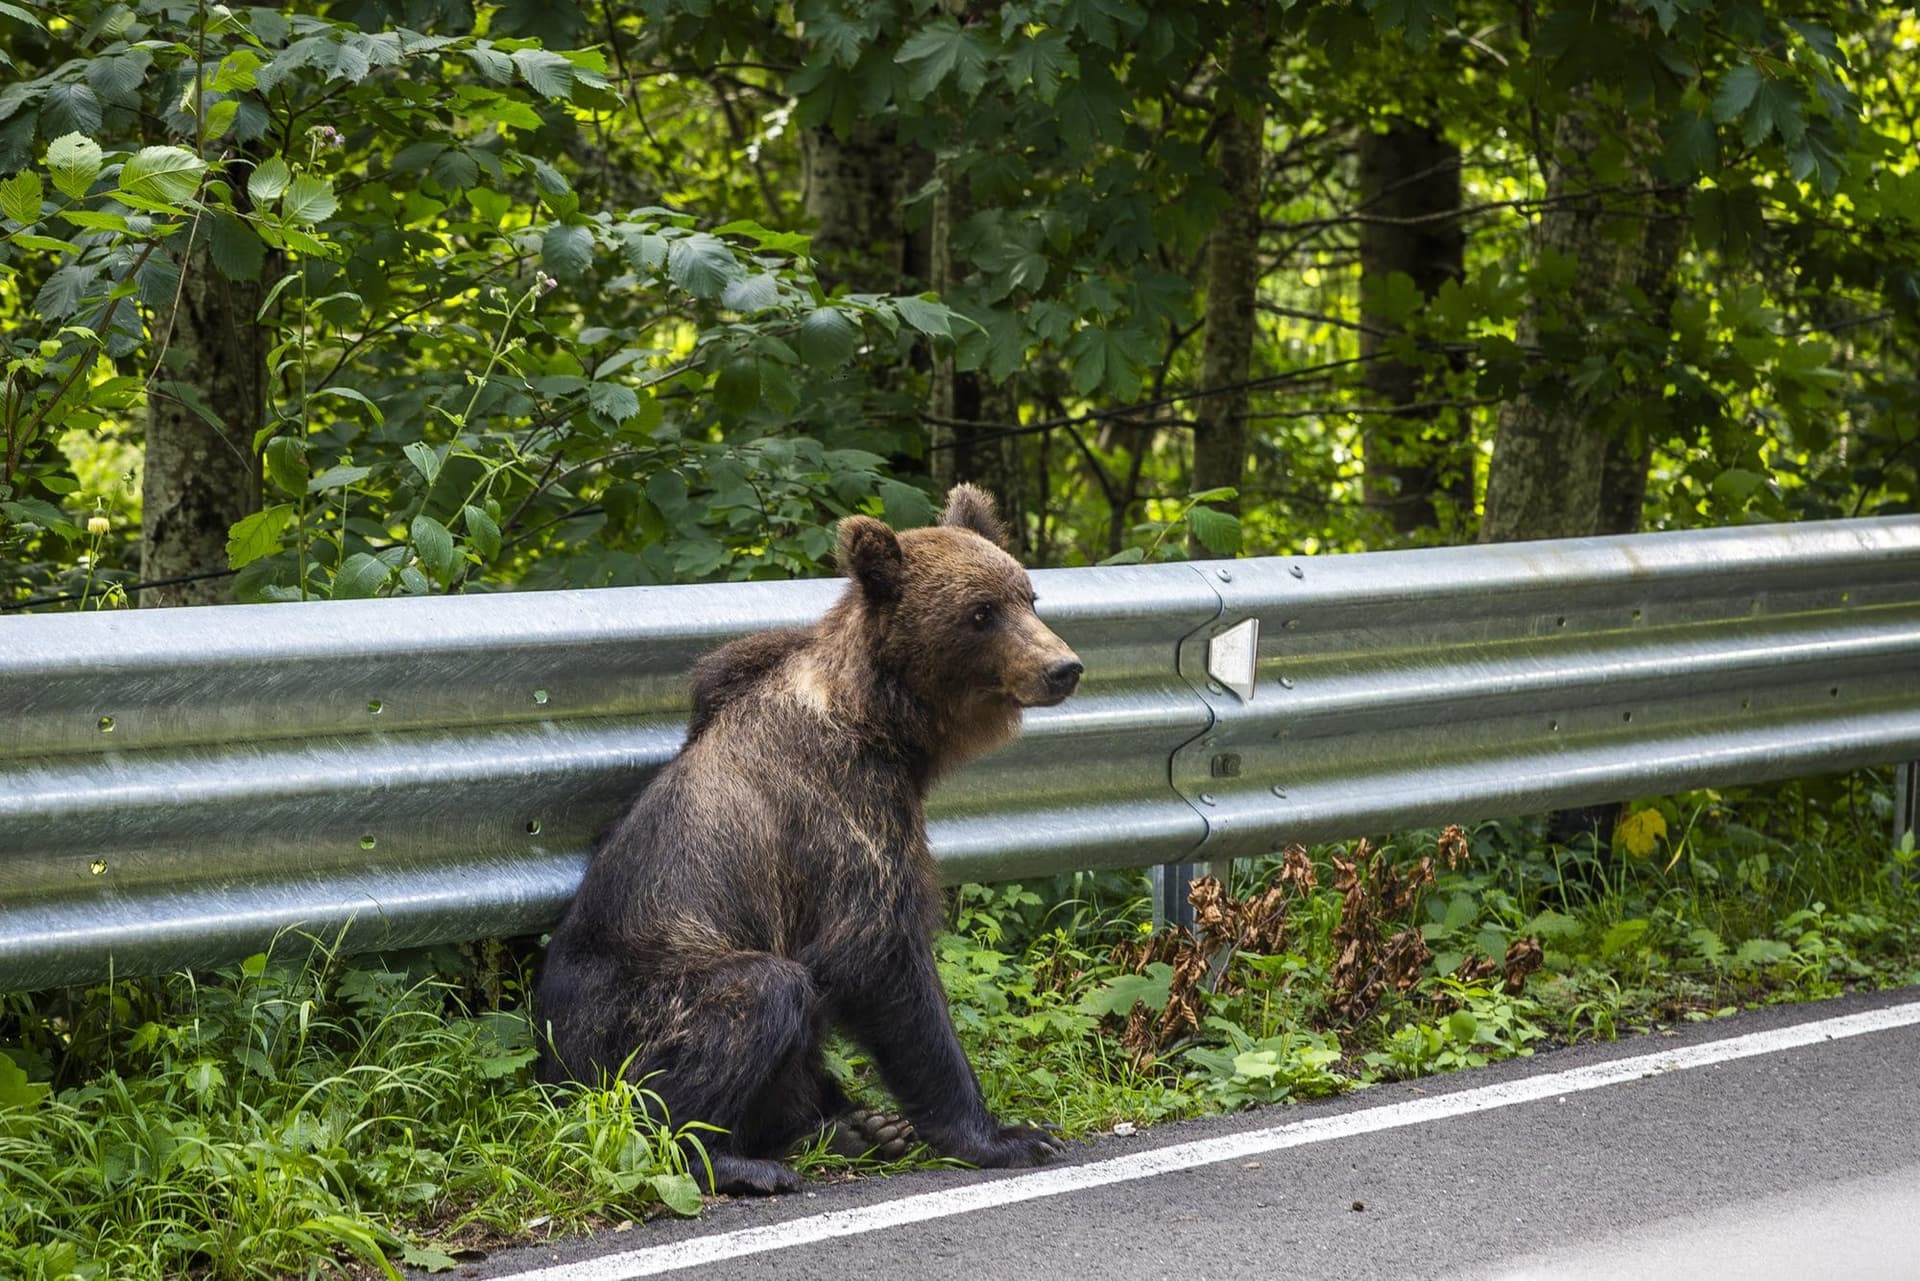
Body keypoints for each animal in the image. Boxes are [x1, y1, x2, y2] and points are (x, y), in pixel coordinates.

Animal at [534, 484, 1084, 1194]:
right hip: (631, 1011)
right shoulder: (842, 811)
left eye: (1029, 595)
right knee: (756, 998)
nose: (1063, 667)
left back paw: (856, 1126)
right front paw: (1008, 1135)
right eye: (982, 612)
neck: (884, 722)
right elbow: (879, 957)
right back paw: (736, 1159)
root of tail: (550, 1070)